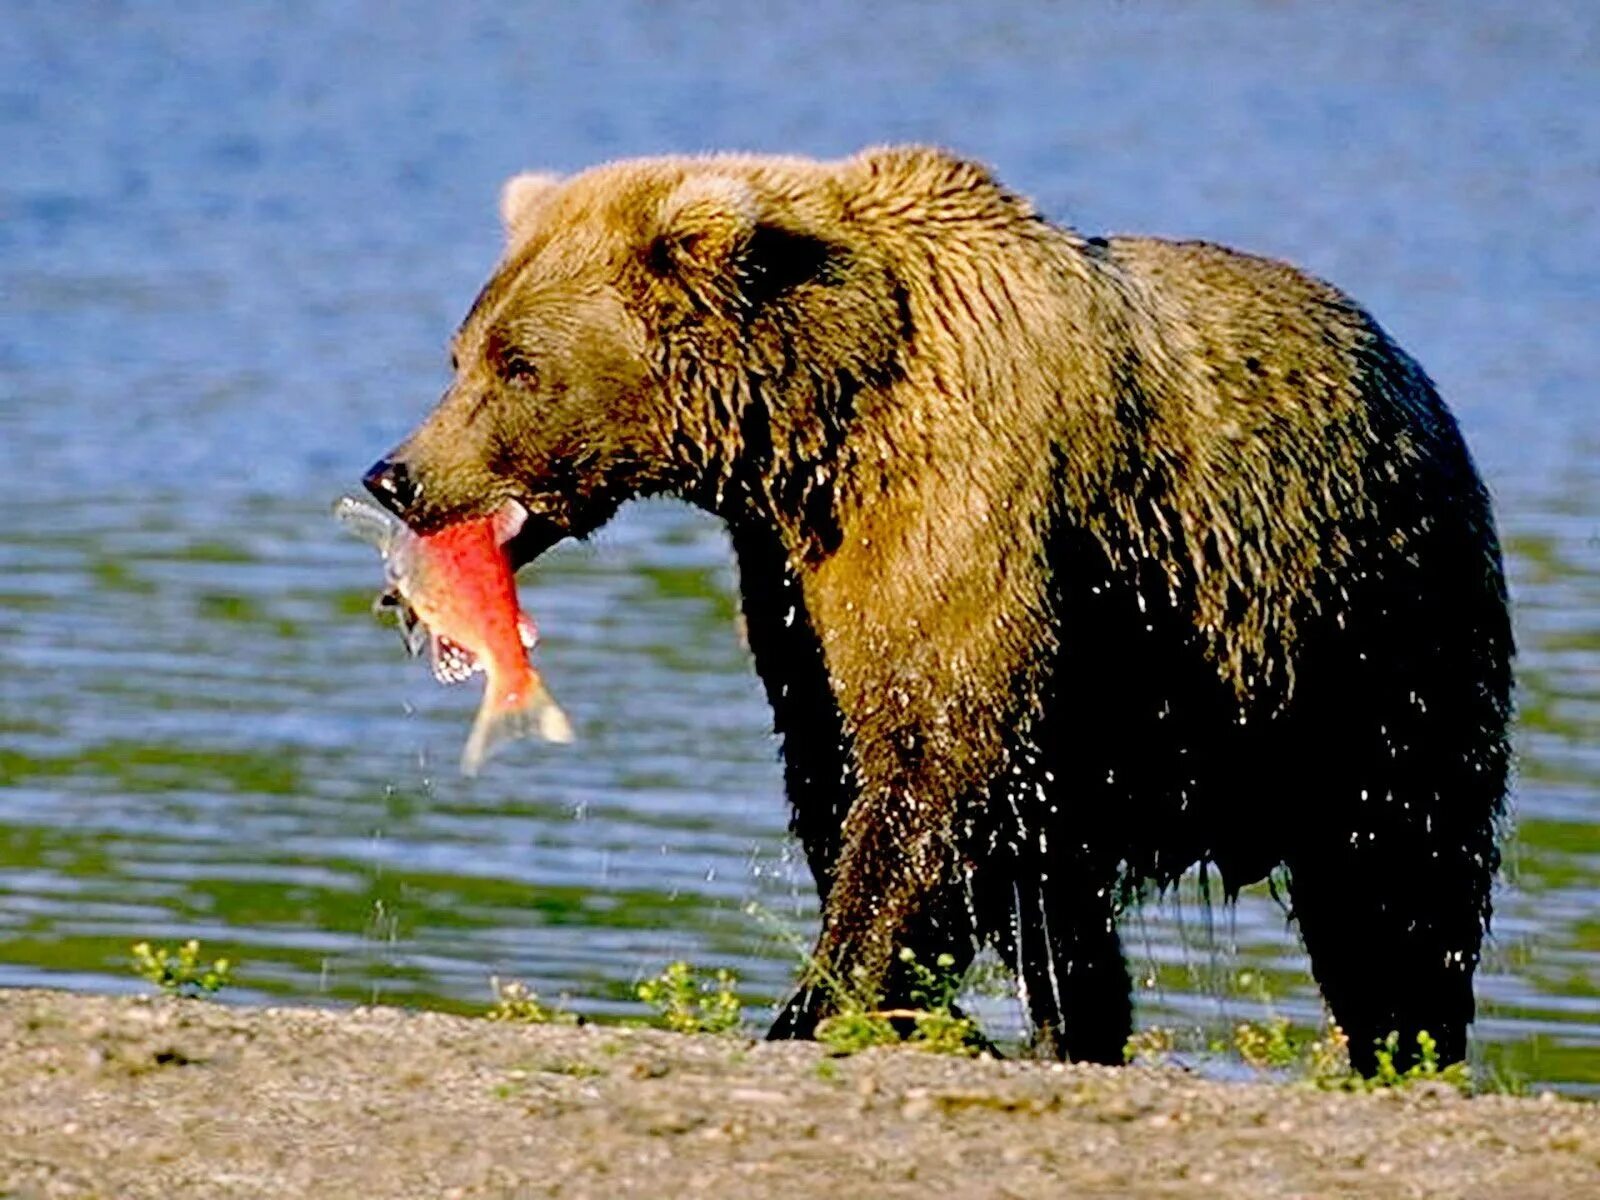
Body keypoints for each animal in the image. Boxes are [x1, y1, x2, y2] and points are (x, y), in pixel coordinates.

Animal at [363, 145, 1510, 1075]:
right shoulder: (796, 574)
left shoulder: (967, 499)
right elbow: (845, 762)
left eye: (519, 364)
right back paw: (1080, 1027)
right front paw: (910, 1003)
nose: (397, 474)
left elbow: (936, 758)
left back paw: (1402, 1045)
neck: (821, 417)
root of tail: (1411, 373)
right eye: (462, 352)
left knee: (1398, 873)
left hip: (1369, 631)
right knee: (1068, 890)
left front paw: (818, 1003)